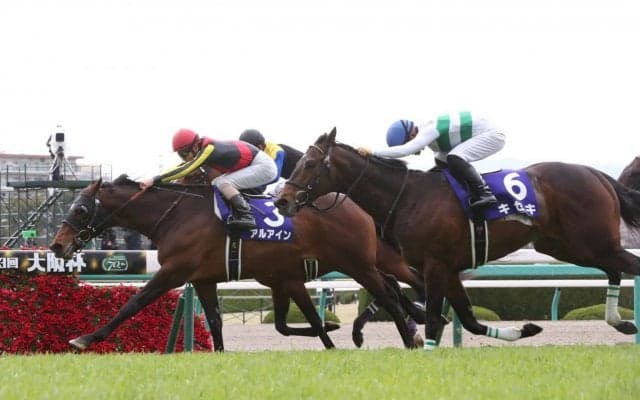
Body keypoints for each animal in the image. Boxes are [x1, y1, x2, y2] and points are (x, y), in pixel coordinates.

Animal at [49, 175, 423, 351]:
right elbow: (215, 321)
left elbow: (133, 303)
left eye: (80, 209)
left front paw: (84, 339)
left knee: (392, 295)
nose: (57, 244)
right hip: (369, 262)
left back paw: (408, 338)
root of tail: (356, 205)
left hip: (359, 263)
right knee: (400, 287)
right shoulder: (205, 279)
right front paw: (220, 353)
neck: (176, 215)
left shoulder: (174, 271)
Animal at [276, 128, 640, 349]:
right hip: (568, 246)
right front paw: (525, 329)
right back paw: (621, 323)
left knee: (626, 266)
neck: (409, 197)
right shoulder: (446, 268)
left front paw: (426, 349)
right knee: (614, 270)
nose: (282, 201)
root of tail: (595, 173)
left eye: (310, 163)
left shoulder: (436, 265)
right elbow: (468, 319)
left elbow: (435, 318)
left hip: (590, 242)